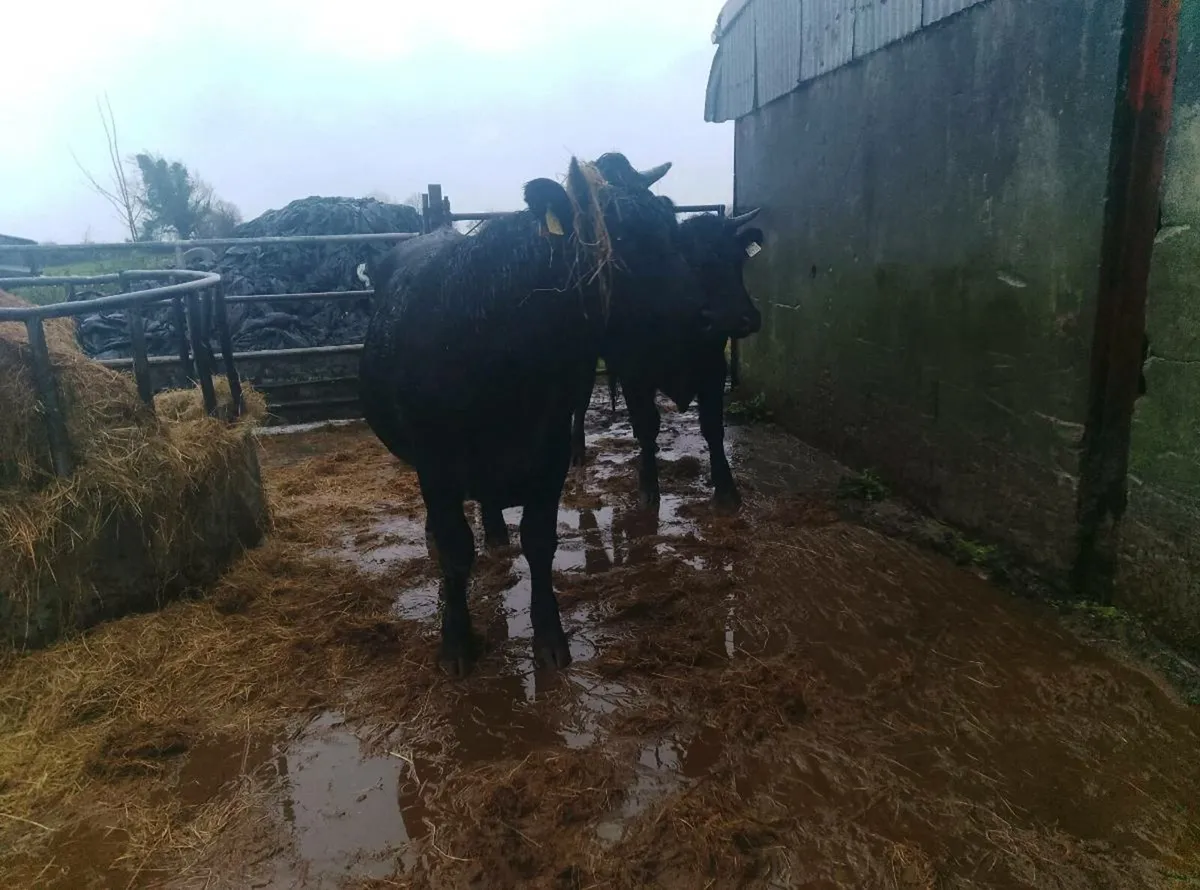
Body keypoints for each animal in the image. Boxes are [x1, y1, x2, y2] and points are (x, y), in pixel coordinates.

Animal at [359, 153, 703, 676]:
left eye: (670, 225)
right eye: (623, 244)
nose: (701, 335)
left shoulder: (550, 453)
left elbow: (539, 543)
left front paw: (550, 638)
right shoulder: (437, 465)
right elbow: (456, 552)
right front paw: (456, 643)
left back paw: (497, 532)